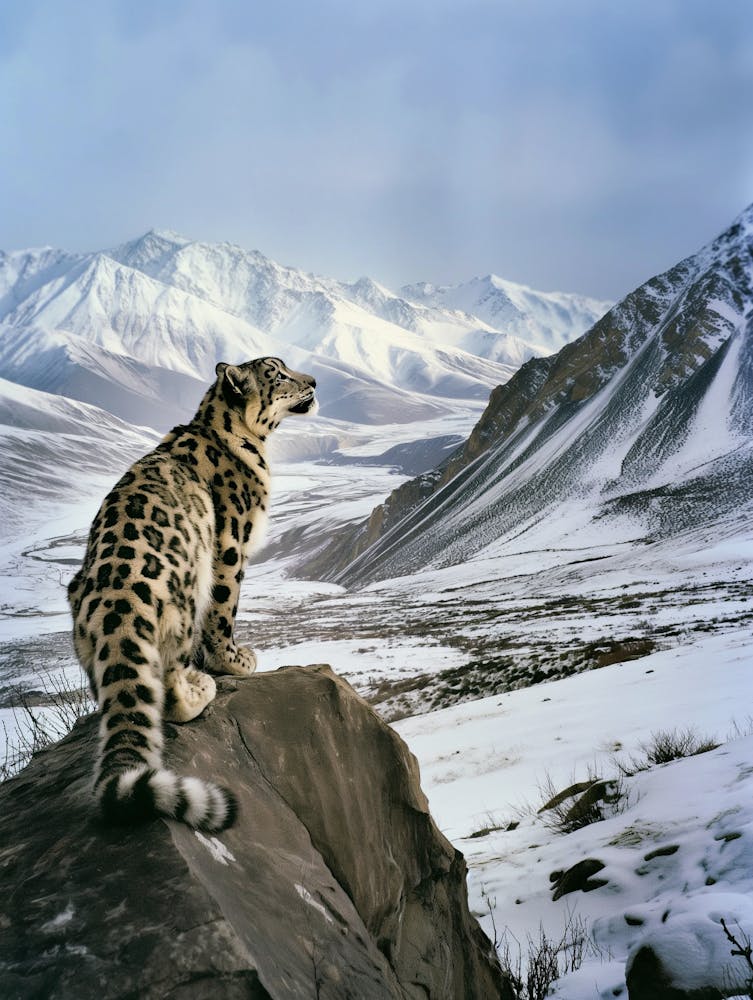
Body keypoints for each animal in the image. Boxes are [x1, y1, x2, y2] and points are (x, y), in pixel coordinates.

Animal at [67, 356, 317, 832]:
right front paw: (233, 661)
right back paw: (201, 687)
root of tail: (117, 607)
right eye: (277, 373)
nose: (314, 381)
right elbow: (225, 608)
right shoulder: (232, 545)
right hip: (182, 599)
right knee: (169, 692)